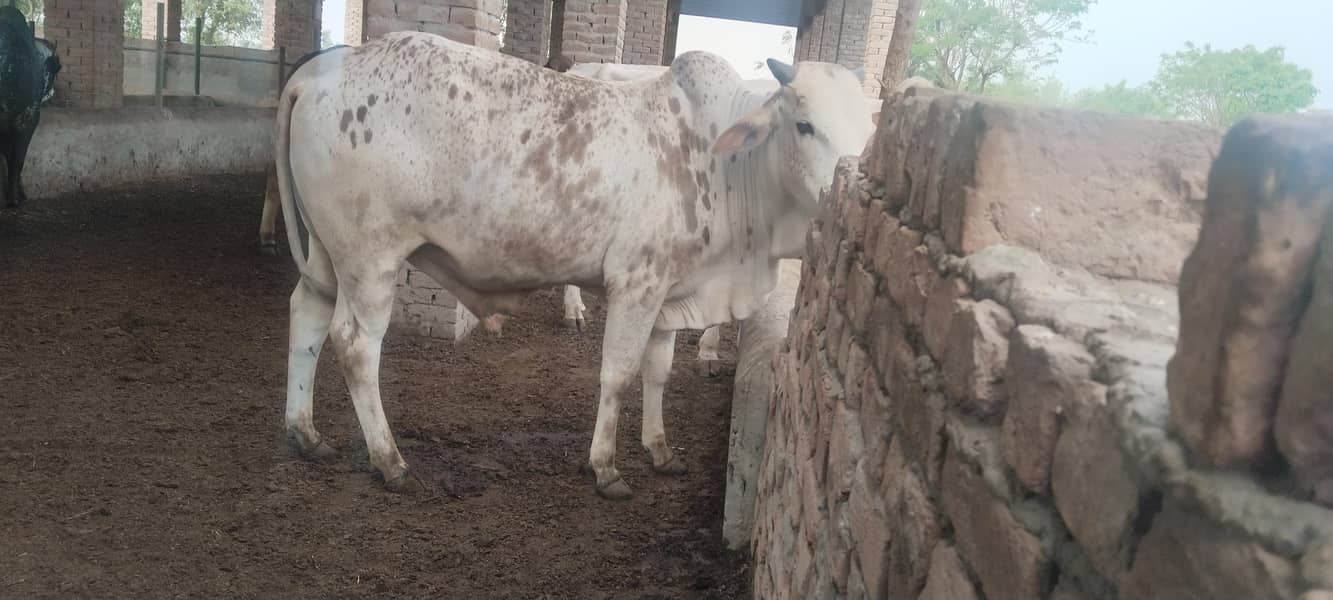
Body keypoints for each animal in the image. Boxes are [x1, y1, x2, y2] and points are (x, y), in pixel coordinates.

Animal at [273, 32, 874, 500]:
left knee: (307, 314)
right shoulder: (637, 283)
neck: (723, 164)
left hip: (327, 255)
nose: (843, 195)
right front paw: (606, 466)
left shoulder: (670, 290)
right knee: (355, 344)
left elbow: (658, 371)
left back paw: (305, 435)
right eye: (804, 124)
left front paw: (659, 449)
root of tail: (321, 70)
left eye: (870, 128)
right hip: (369, 258)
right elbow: (619, 374)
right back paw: (389, 460)